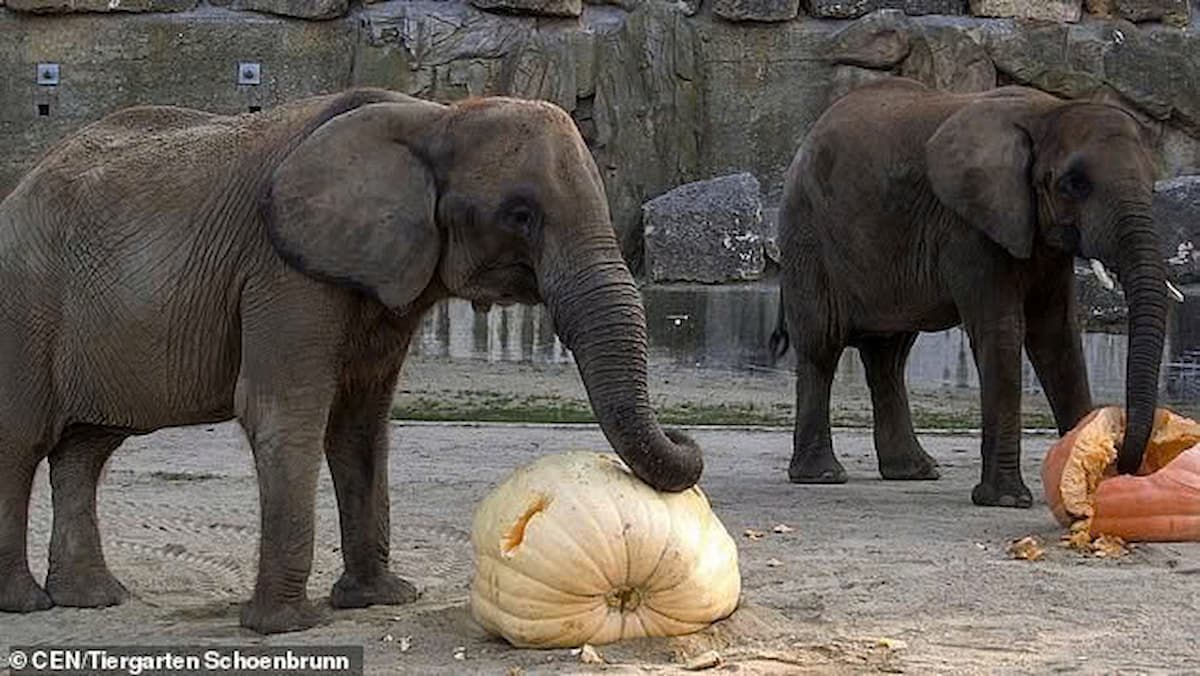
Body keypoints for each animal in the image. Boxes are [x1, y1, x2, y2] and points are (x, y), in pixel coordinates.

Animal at [0, 88, 700, 633]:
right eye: (520, 214)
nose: (687, 434)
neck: (436, 117)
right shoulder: (283, 270)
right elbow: (285, 413)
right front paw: (286, 627)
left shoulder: (385, 278)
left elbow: (361, 423)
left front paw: (379, 601)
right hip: (23, 302)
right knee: (23, 442)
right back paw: (27, 606)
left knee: (87, 448)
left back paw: (92, 600)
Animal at [768, 78, 1171, 509]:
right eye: (1074, 185)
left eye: (1152, 184)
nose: (1122, 464)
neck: (1047, 112)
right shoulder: (968, 226)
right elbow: (1003, 332)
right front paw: (1007, 500)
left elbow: (1057, 336)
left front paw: (1087, 489)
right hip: (808, 234)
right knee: (822, 347)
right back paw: (822, 475)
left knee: (888, 356)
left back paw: (915, 472)